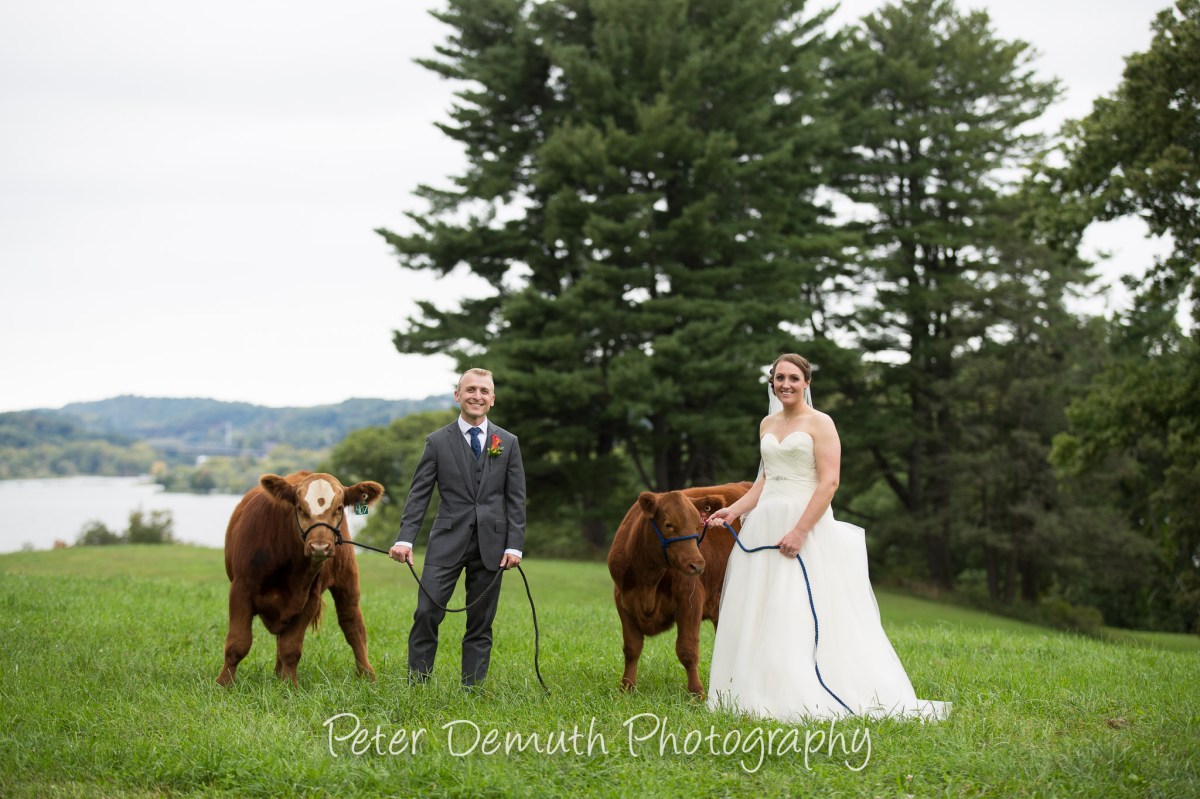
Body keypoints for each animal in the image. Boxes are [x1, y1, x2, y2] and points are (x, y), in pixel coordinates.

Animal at [217, 471, 384, 686]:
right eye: (299, 508)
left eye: (339, 508)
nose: (320, 547)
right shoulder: (241, 589)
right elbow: (238, 642)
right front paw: (224, 683)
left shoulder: (309, 599)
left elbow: (291, 648)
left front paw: (288, 685)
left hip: (347, 579)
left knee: (352, 624)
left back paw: (367, 676)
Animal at [607, 482, 752, 696]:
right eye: (669, 524)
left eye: (698, 525)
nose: (697, 564)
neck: (647, 581)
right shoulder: (623, 600)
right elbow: (632, 648)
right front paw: (627, 687)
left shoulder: (690, 601)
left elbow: (687, 650)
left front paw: (697, 693)